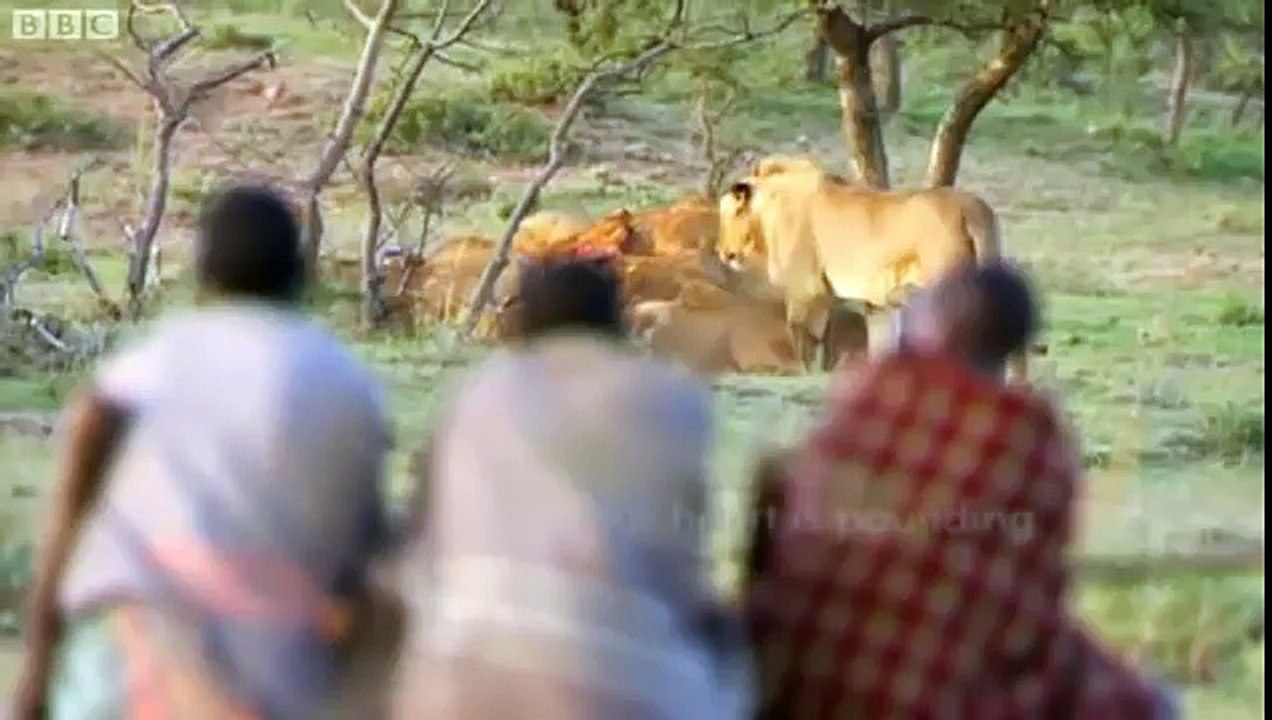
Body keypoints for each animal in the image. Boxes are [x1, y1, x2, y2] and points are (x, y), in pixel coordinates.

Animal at [716, 154, 1025, 380]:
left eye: (731, 213)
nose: (722, 253)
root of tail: (972, 207)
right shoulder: (873, 304)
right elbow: (872, 345)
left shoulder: (805, 288)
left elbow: (803, 338)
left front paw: (805, 376)